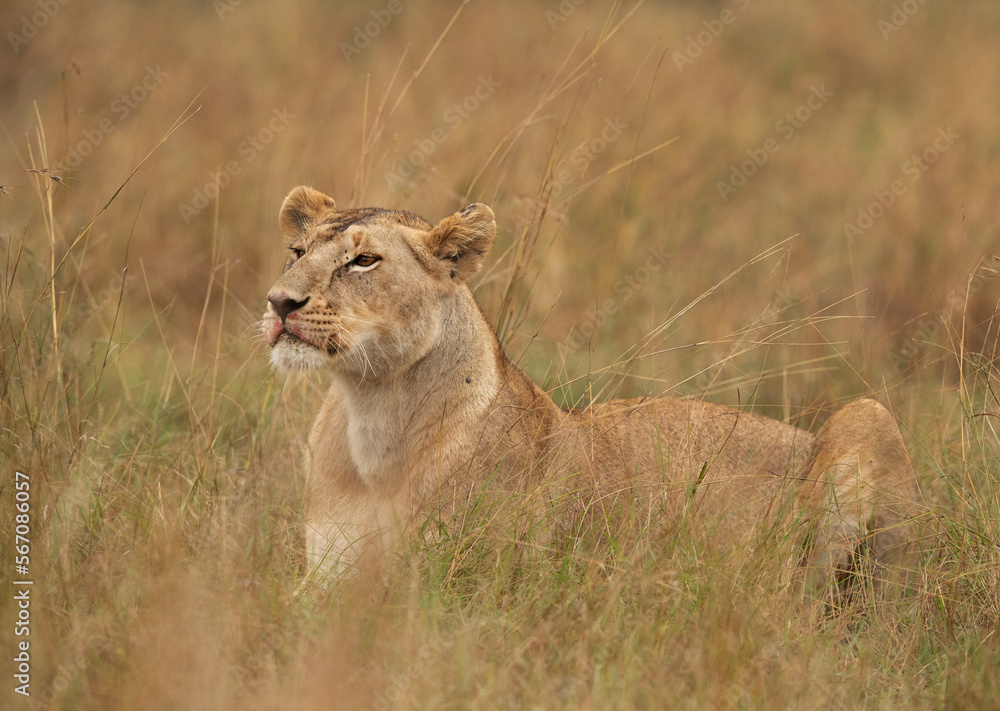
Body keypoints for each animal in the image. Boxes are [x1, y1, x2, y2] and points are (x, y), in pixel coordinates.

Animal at [264, 185, 923, 598]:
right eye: (296, 252)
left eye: (364, 261)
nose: (278, 302)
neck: (373, 410)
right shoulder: (325, 577)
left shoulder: (465, 585)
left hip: (869, 418)